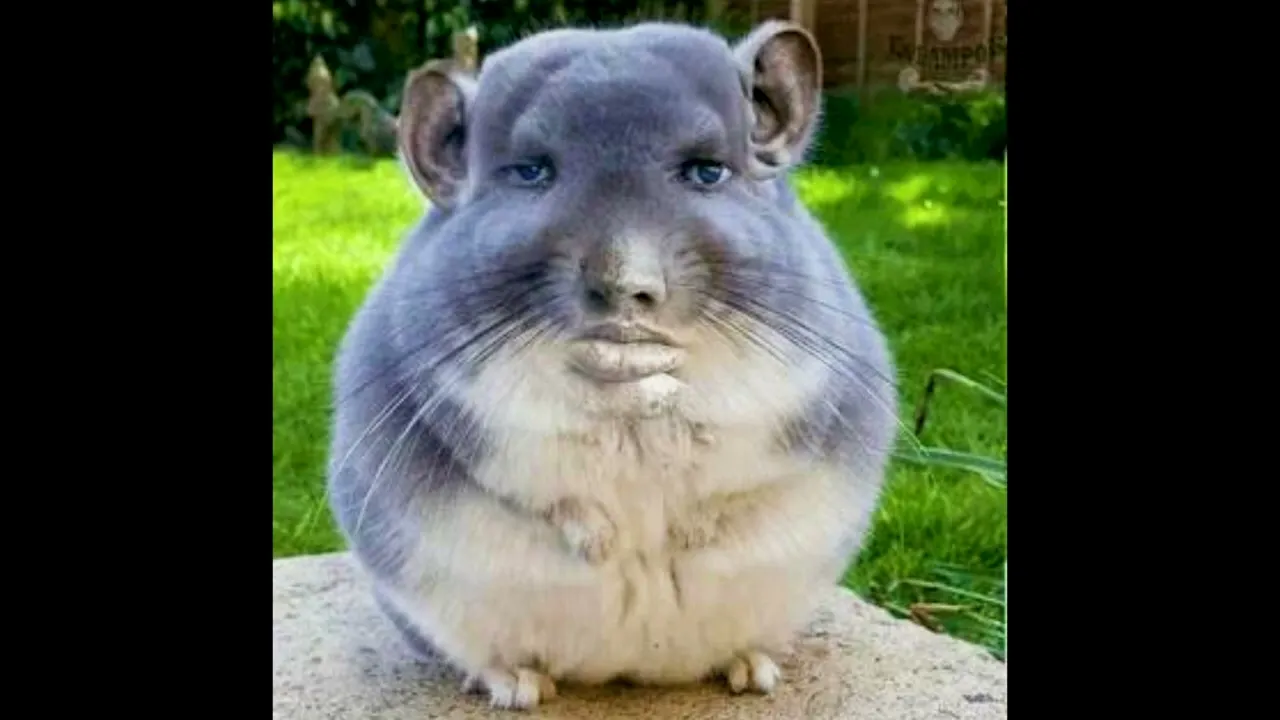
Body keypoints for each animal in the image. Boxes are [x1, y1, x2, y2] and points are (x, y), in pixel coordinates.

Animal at [326, 20, 898, 710]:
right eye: (532, 173)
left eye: (707, 172)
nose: (626, 287)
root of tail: (627, 668)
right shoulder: (468, 391)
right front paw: (599, 538)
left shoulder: (794, 380)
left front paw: (688, 531)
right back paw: (515, 684)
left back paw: (753, 669)